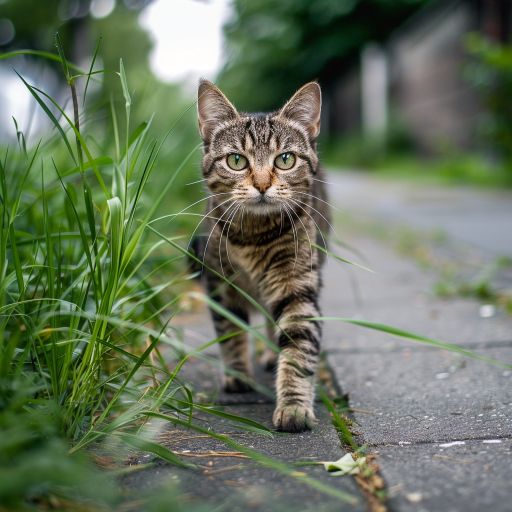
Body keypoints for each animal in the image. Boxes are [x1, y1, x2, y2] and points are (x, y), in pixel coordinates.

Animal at [194, 80, 330, 432]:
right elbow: (230, 332)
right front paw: (238, 373)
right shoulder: (219, 282)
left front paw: (294, 406)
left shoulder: (296, 285)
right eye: (236, 161)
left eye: (285, 160)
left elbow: (298, 348)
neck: (252, 237)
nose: (262, 184)